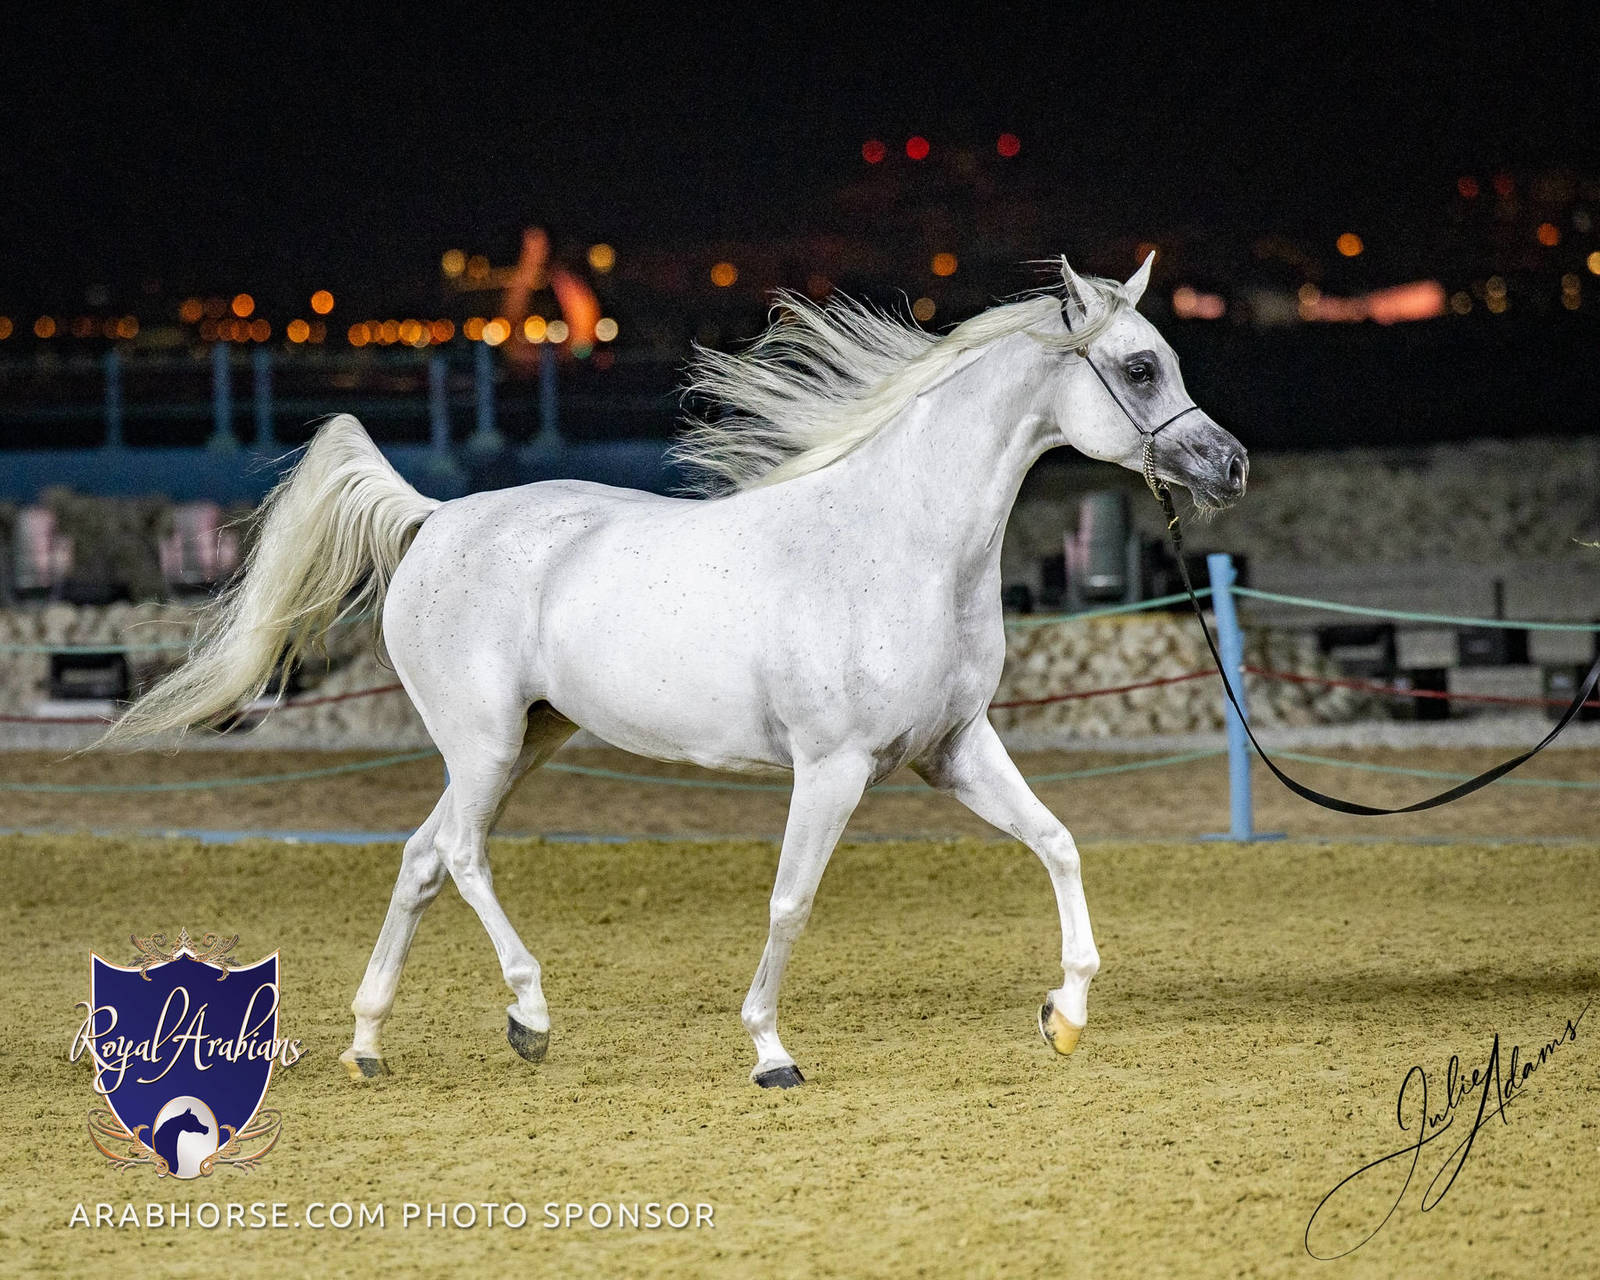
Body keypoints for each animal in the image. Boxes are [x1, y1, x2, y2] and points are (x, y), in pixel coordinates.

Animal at [100, 255, 1247, 1089]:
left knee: (423, 856)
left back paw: (370, 1042)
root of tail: (434, 518)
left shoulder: (953, 751)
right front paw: (770, 1051)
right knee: (461, 853)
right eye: (1138, 368)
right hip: (485, 743)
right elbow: (790, 901)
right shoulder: (831, 769)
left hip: (526, 741)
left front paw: (1066, 1015)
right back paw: (529, 1014)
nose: (1228, 465)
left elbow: (1058, 844)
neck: (899, 542)